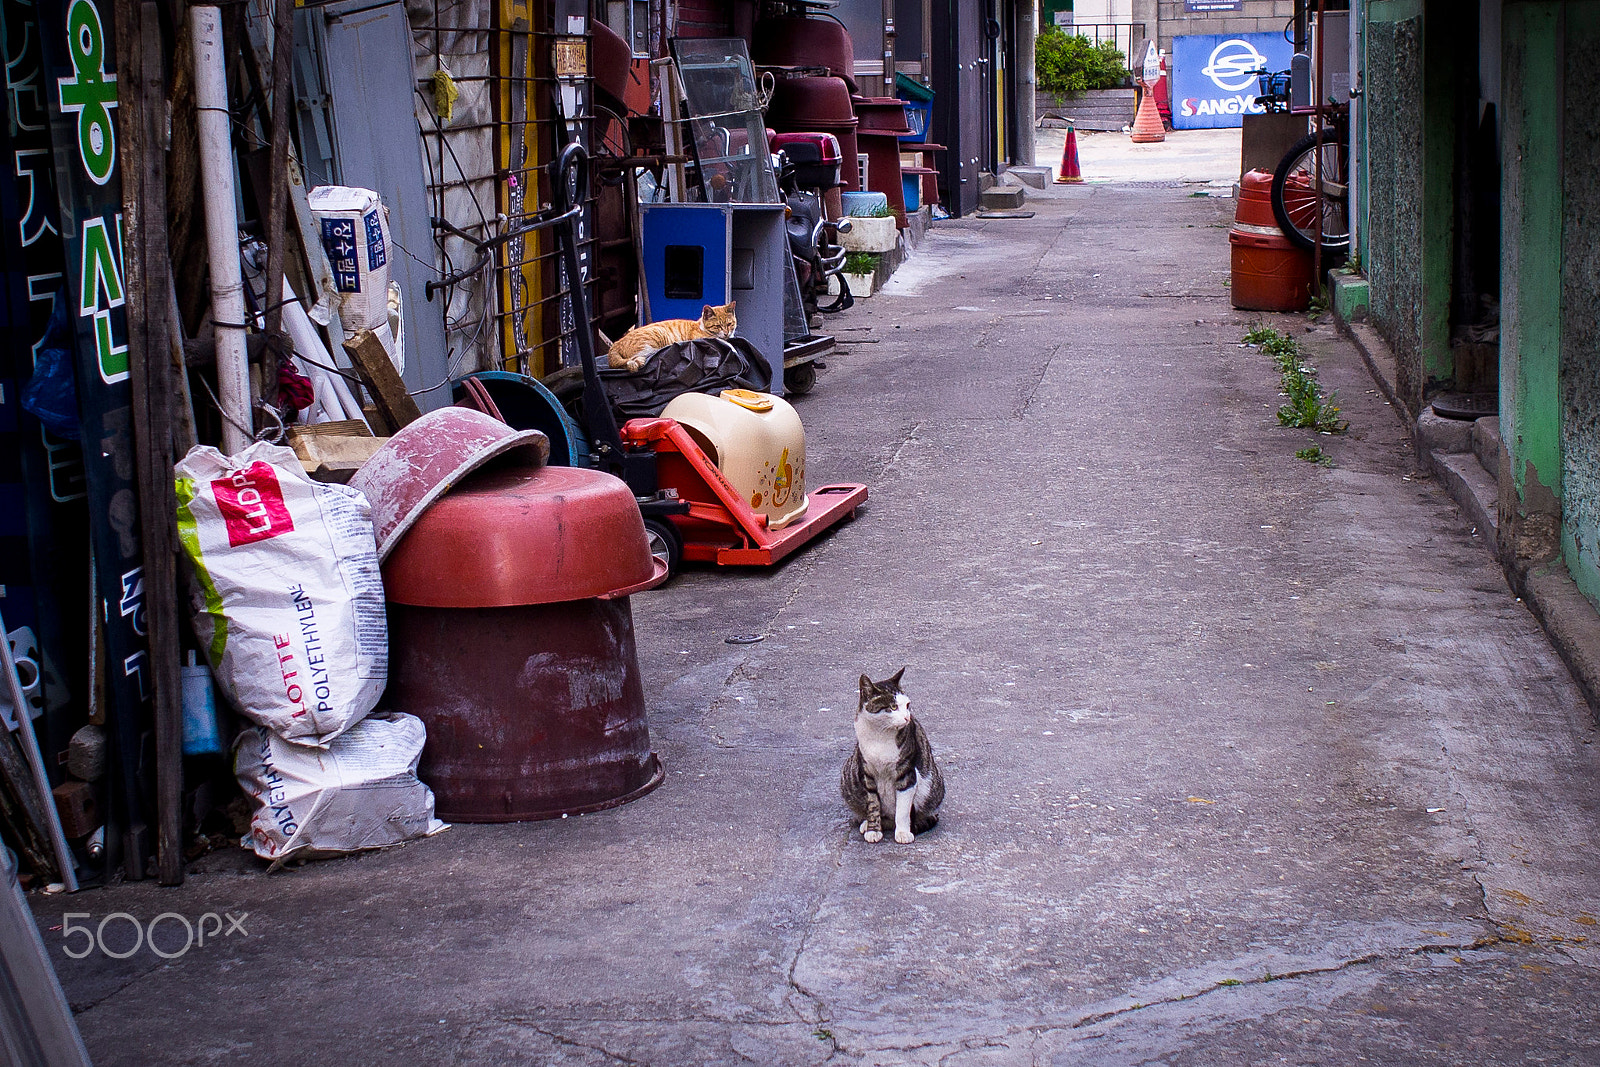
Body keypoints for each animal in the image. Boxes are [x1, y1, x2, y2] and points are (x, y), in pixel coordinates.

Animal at [604, 300, 736, 371]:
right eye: (717, 326)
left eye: (729, 324)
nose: (726, 333)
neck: (701, 326)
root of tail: (615, 344)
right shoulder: (704, 338)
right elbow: (724, 342)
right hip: (654, 338)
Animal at [844, 668, 940, 844]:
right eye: (893, 707)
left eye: (907, 705)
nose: (907, 717)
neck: (880, 735)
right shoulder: (867, 774)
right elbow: (873, 804)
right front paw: (873, 830)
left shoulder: (907, 774)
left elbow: (902, 810)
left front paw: (903, 833)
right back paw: (866, 823)